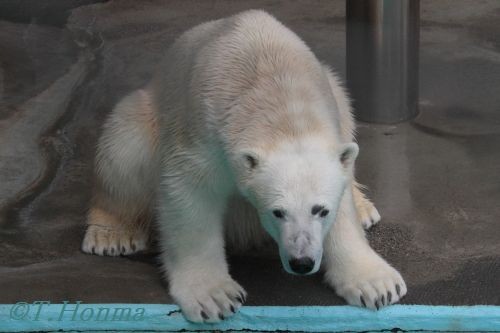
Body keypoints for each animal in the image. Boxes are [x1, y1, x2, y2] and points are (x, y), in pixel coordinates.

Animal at [81, 9, 406, 322]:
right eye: (277, 212)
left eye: (321, 210)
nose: (301, 262)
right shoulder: (202, 135)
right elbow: (189, 194)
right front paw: (214, 297)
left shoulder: (329, 124)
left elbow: (342, 197)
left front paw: (377, 284)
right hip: (143, 116)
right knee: (123, 148)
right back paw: (111, 234)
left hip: (338, 93)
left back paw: (365, 208)